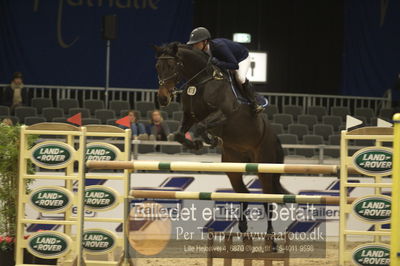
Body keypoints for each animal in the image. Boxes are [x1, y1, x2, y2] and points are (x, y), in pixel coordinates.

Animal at [153, 42, 288, 239]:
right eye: (157, 67)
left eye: (171, 66)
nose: (163, 99)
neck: (200, 80)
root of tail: (273, 136)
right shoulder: (189, 116)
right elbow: (179, 134)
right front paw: (199, 143)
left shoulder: (223, 114)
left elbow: (201, 126)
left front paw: (211, 139)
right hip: (233, 166)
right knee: (244, 193)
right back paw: (243, 226)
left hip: (264, 166)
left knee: (267, 199)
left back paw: (271, 237)